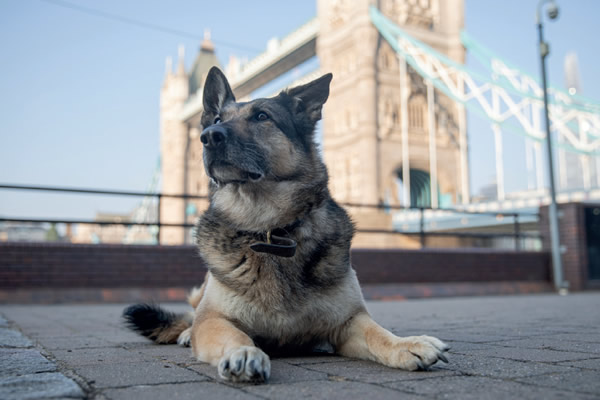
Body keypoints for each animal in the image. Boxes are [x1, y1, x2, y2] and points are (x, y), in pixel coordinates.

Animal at [123, 67, 450, 382]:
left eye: (262, 116)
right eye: (216, 119)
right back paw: (186, 333)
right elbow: (232, 334)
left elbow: (378, 334)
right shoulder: (215, 319)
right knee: (193, 315)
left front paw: (408, 344)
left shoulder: (349, 322)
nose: (208, 135)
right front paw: (243, 352)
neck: (270, 230)